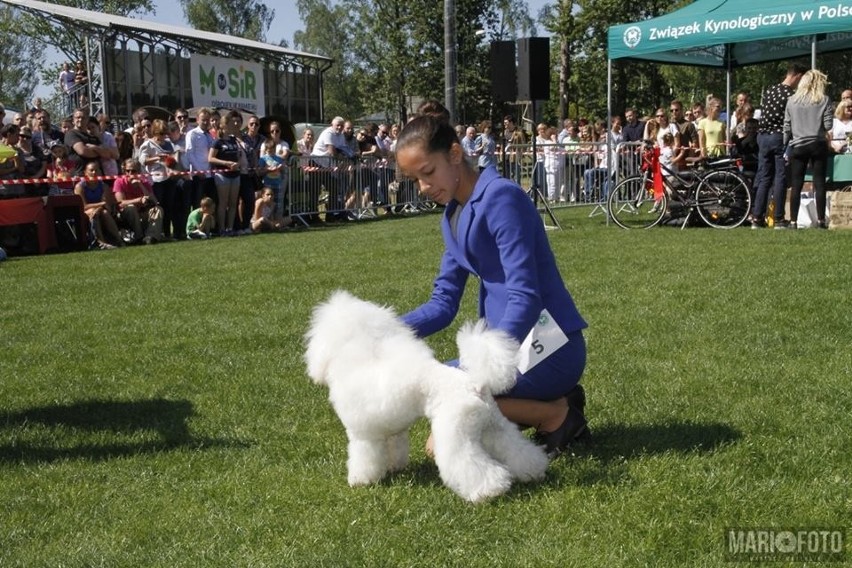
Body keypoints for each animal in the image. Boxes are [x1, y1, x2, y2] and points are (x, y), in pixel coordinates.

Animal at [302, 290, 548, 504]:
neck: (356, 354)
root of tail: (476, 384)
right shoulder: (394, 431)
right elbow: (395, 449)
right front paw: (394, 468)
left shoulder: (363, 435)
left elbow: (364, 458)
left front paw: (360, 481)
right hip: (493, 425)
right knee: (516, 449)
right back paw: (534, 471)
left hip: (455, 431)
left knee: (469, 464)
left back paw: (488, 491)